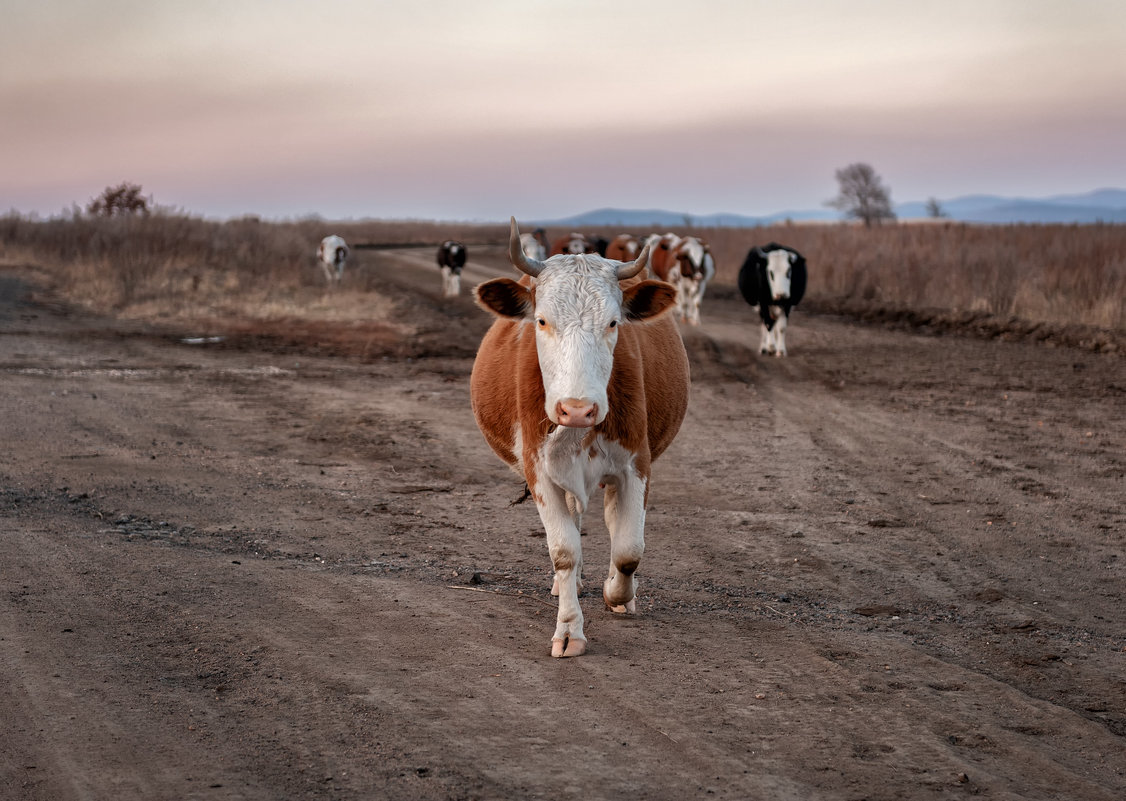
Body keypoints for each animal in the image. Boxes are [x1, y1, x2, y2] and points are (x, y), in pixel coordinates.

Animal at [470, 217, 689, 657]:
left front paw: (618, 594)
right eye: (541, 320)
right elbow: (564, 550)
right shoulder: (539, 470)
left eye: (613, 322)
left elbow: (628, 550)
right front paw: (570, 628)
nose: (576, 409)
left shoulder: (636, 465)